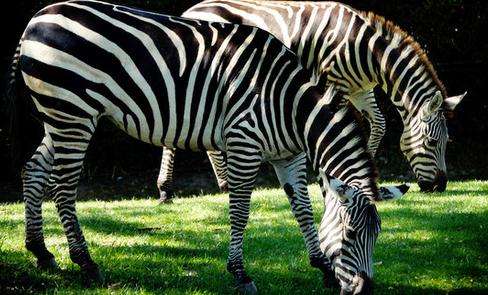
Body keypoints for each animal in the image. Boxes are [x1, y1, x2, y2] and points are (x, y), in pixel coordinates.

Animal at [7, 0, 408, 294]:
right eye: (351, 235)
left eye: (378, 235)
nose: (363, 290)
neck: (290, 106)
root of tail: (35, 20)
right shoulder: (244, 142)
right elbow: (240, 211)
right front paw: (240, 273)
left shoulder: (288, 156)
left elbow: (303, 210)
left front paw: (321, 266)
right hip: (73, 113)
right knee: (63, 187)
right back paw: (85, 262)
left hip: (60, 116)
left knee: (34, 169)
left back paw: (41, 252)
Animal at [154, 0, 468, 197]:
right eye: (431, 142)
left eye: (448, 142)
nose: (440, 186)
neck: (369, 53)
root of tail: (190, 8)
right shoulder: (333, 82)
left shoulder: (361, 89)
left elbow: (379, 124)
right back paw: (166, 189)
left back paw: (222, 183)